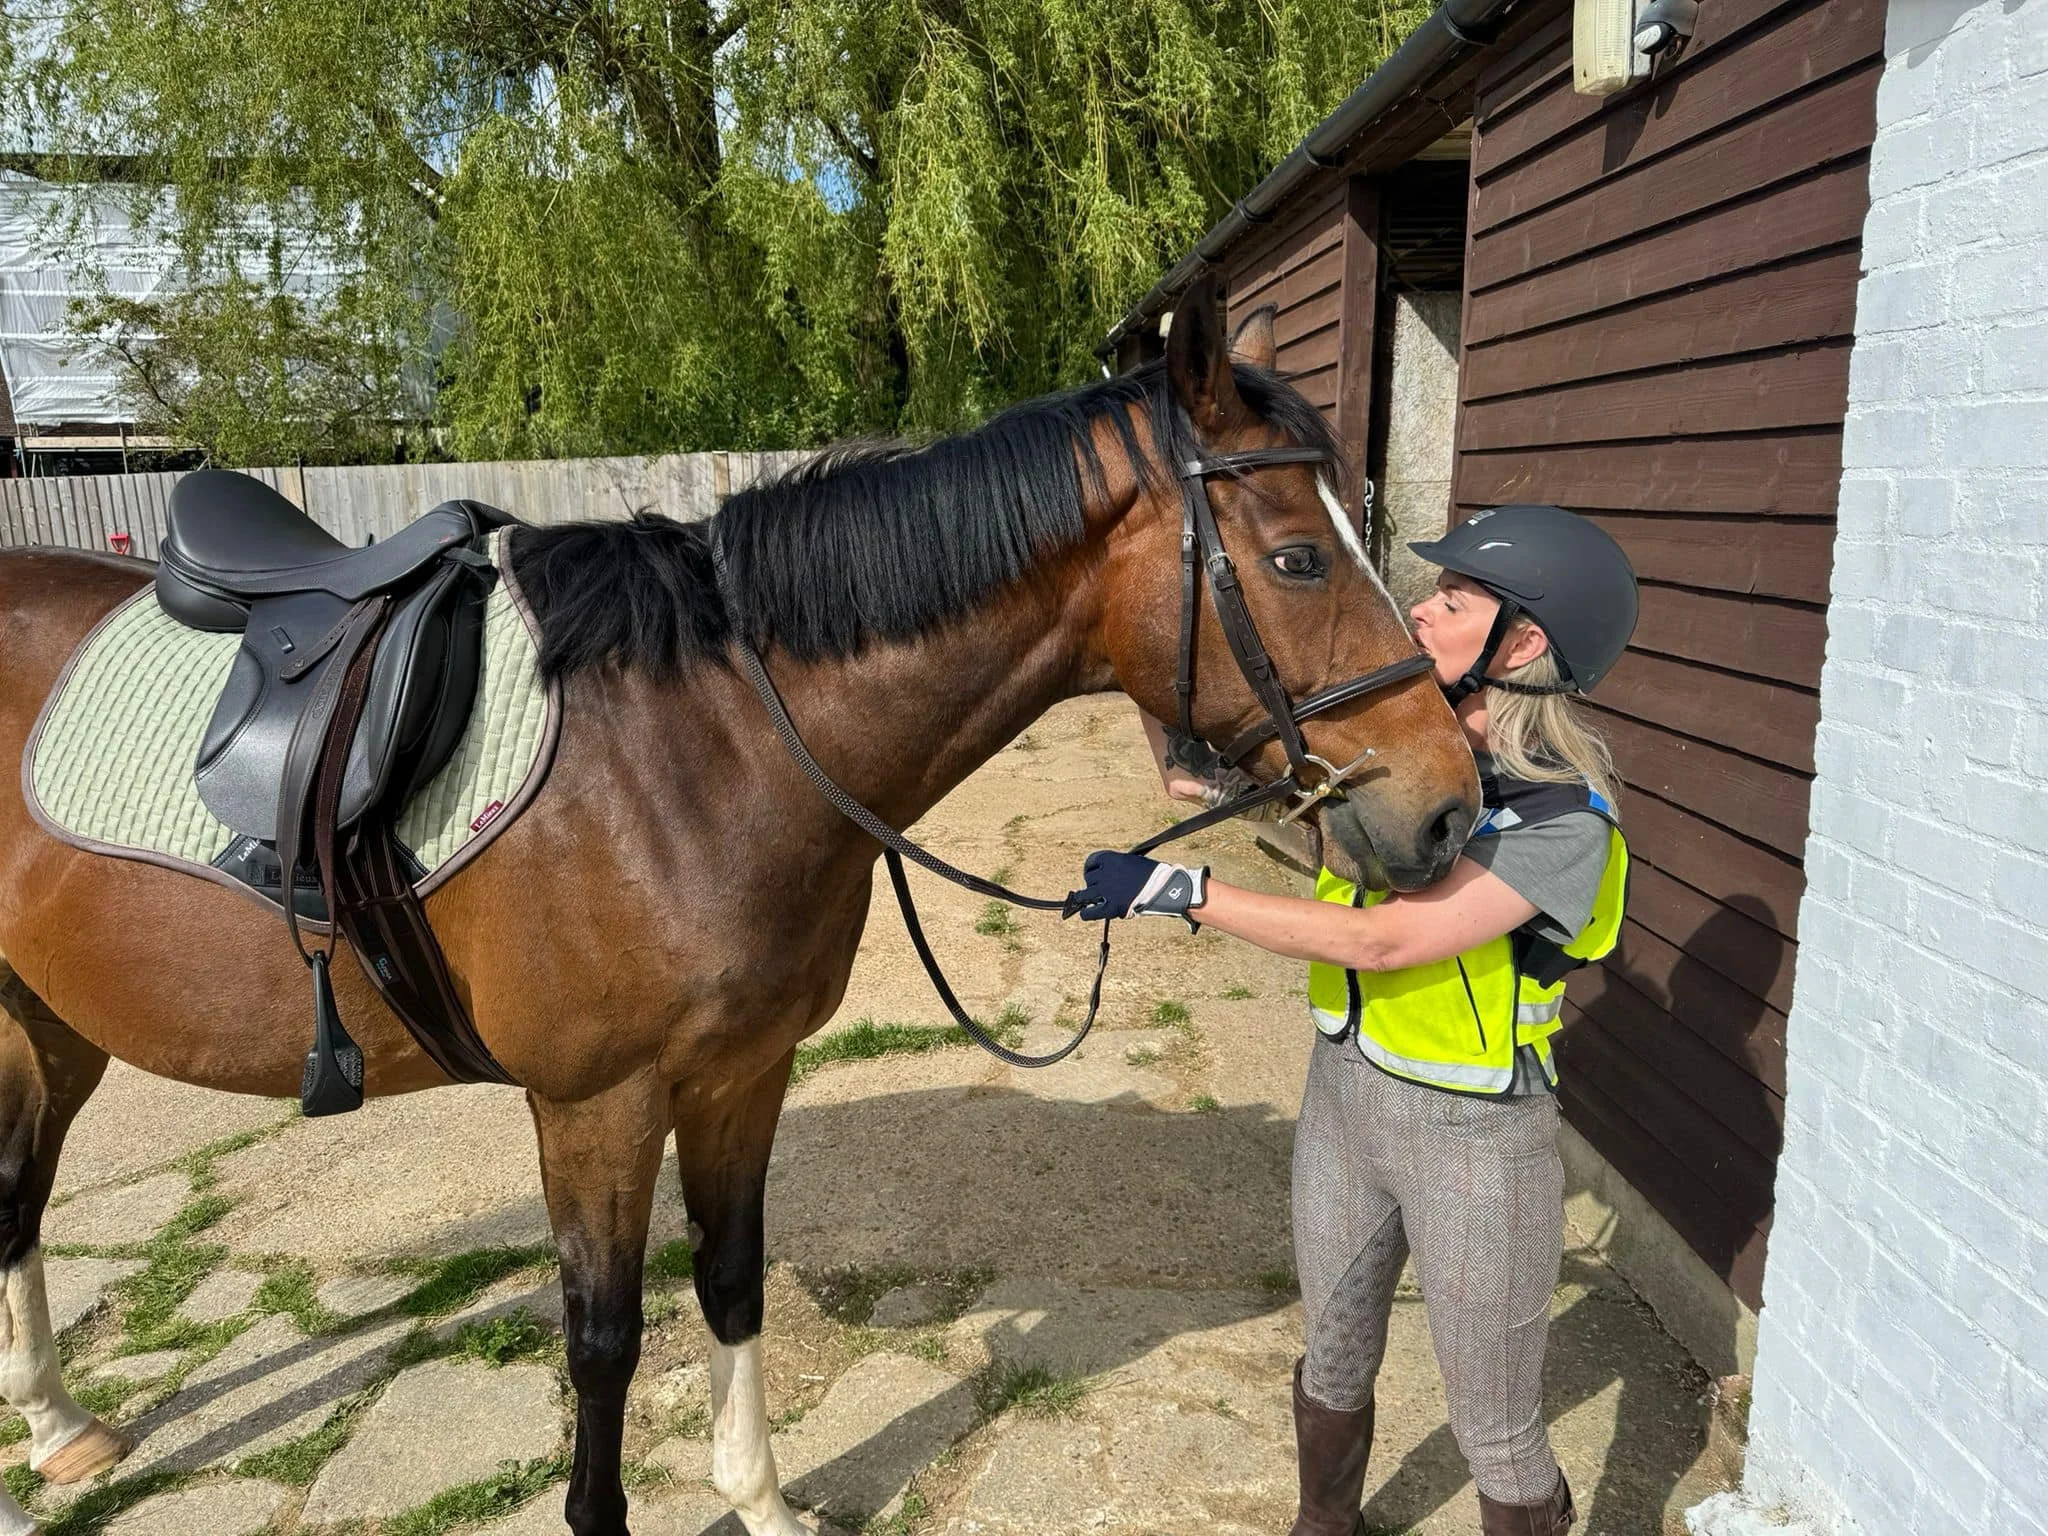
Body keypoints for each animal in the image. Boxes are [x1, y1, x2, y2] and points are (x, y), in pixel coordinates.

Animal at [0, 276, 1479, 1536]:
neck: (697, 749)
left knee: (18, 1203)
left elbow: (729, 1277)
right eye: (1297, 561)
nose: (1448, 809)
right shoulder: (595, 1107)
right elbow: (603, 1342)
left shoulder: (738, 1077)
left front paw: (758, 1498)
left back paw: (59, 1433)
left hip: (48, 1025)